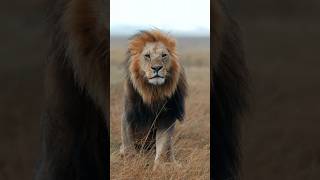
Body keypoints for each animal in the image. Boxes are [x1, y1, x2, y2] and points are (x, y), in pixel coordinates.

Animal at [119, 29, 188, 169]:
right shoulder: (128, 115)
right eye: (147, 56)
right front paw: (131, 163)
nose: (156, 68)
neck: (153, 92)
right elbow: (128, 145)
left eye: (163, 55)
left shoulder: (167, 118)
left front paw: (159, 167)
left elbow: (163, 146)